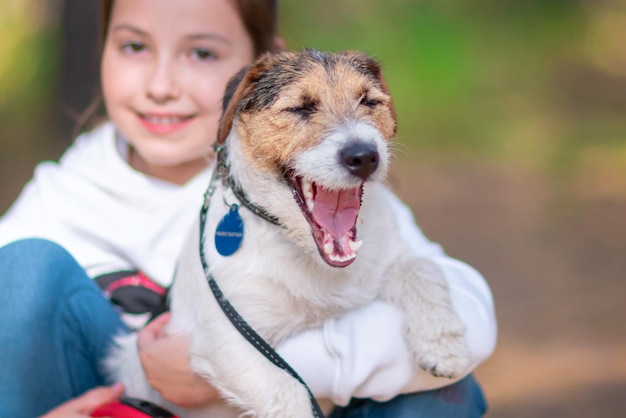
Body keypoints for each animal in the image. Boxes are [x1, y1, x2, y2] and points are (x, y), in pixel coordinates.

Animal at [106, 49, 468, 418]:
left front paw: (443, 344)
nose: (365, 156)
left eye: (369, 101)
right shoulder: (229, 337)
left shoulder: (382, 264)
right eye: (300, 108)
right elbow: (288, 391)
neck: (304, 251)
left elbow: (424, 267)